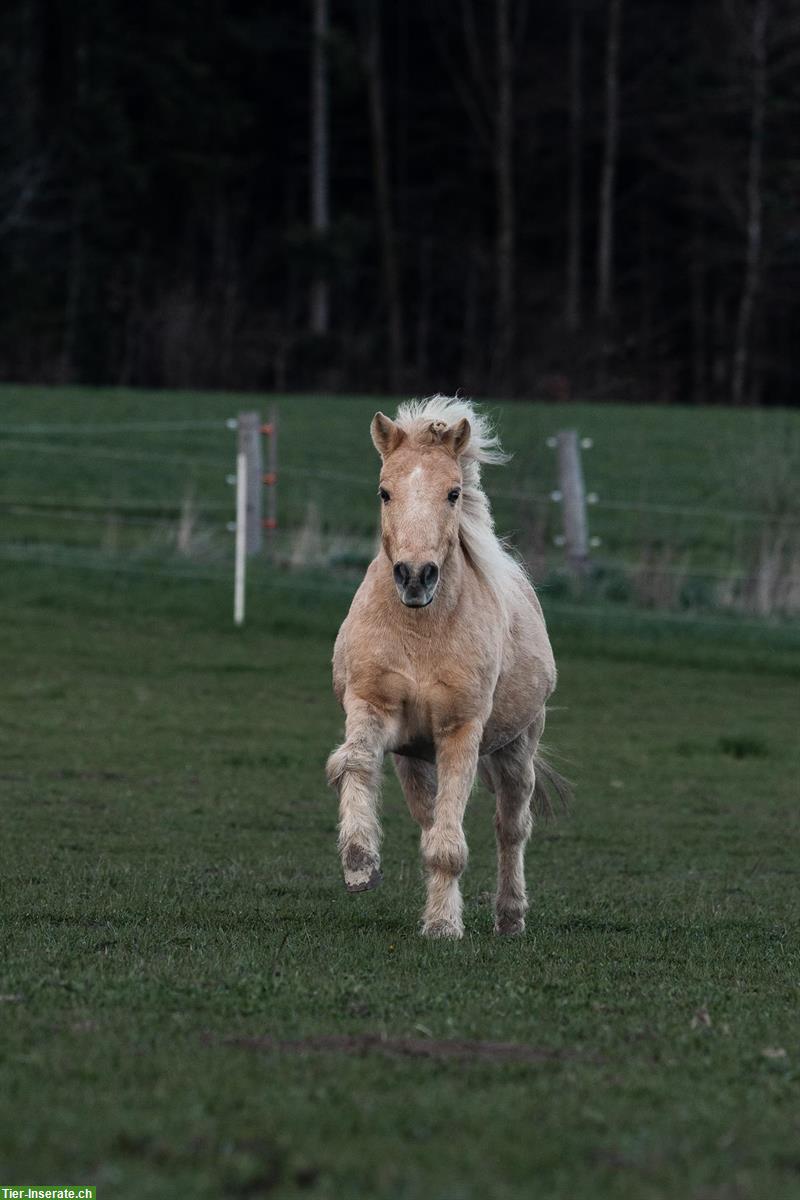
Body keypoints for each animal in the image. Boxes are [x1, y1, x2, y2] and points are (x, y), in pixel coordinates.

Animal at [326, 396, 568, 936]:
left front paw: (442, 927)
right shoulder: (372, 707)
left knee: (510, 827)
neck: (419, 632)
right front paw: (359, 864)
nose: (415, 576)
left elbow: (452, 843)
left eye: (453, 493)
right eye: (385, 492)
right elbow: (354, 761)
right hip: (414, 759)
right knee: (430, 819)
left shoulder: (461, 730)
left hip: (518, 746)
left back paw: (510, 917)